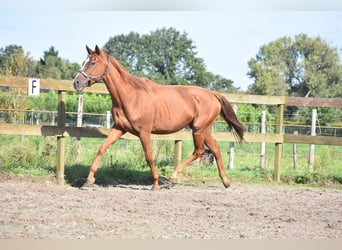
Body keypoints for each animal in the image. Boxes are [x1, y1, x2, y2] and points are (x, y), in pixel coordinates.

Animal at [73, 45, 243, 189]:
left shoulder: (144, 132)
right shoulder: (119, 128)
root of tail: (213, 94)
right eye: (84, 62)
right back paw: (226, 182)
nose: (76, 82)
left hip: (198, 130)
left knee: (199, 151)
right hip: (203, 130)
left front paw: (155, 184)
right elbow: (102, 148)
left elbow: (149, 156)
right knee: (215, 149)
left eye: (93, 62)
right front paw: (89, 181)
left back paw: (172, 177)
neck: (130, 96)